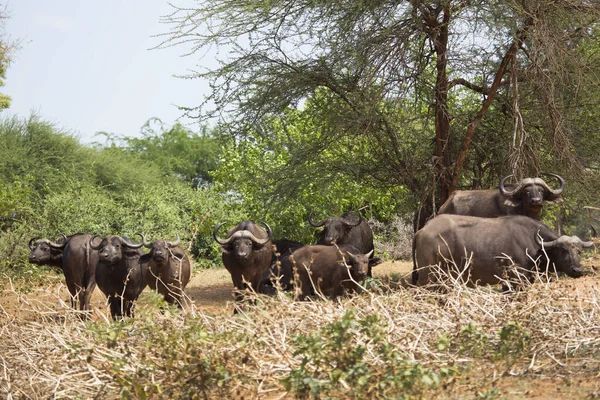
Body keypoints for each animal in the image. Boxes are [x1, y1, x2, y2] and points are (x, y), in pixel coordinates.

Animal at [410, 214, 592, 286]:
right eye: (563, 251)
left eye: (579, 251)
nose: (577, 270)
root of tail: (422, 230)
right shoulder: (516, 279)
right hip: (428, 276)